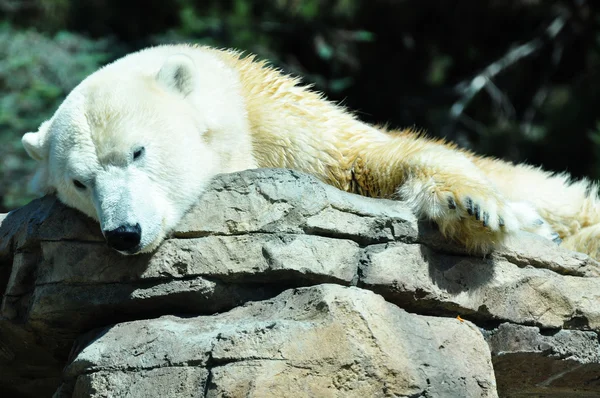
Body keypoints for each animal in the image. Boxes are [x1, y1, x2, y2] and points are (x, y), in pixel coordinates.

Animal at [21, 44, 596, 258]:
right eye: (79, 182)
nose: (123, 234)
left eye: (138, 152)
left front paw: (475, 207)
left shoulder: (278, 119)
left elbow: (367, 158)